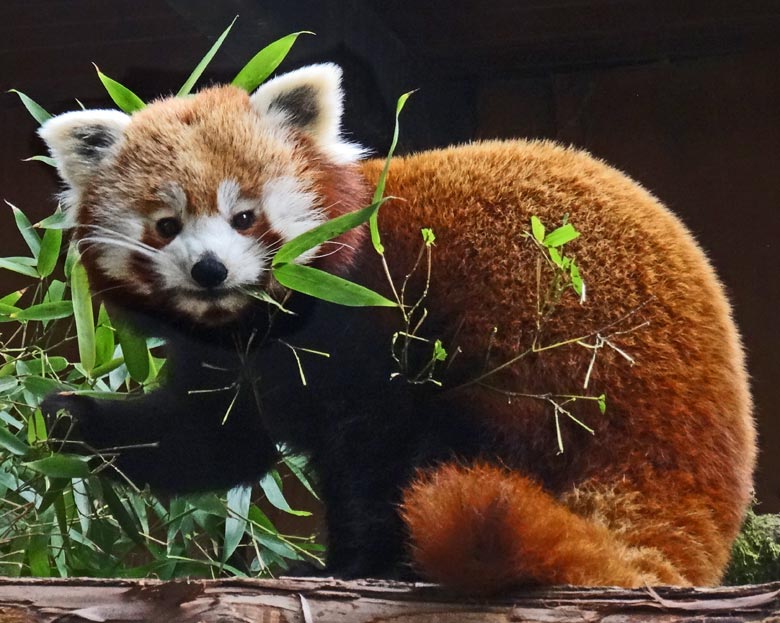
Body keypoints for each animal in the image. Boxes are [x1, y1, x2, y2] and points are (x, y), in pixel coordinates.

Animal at [38, 63, 756, 596]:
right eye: (166, 225)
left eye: (244, 216)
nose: (210, 269)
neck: (260, 325)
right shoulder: (235, 361)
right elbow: (214, 439)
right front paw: (65, 417)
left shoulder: (370, 321)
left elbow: (372, 451)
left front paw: (351, 565)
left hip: (555, 373)